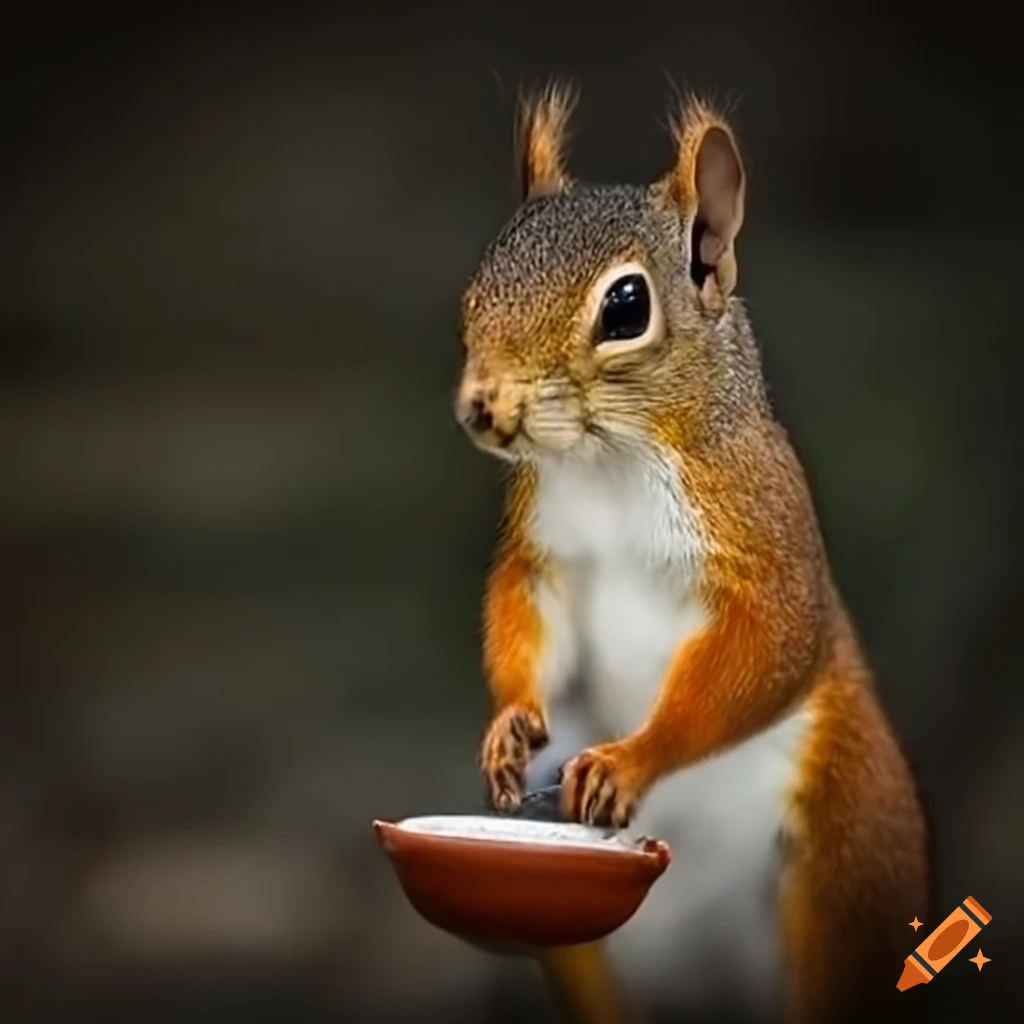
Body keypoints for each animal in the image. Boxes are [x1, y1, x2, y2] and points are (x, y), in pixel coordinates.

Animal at [454, 84, 929, 1024]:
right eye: (475, 288)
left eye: (625, 308)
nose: (481, 407)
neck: (609, 460)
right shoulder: (545, 550)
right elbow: (524, 614)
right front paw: (511, 724)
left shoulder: (762, 528)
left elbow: (773, 647)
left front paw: (630, 759)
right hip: (592, 957)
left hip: (843, 867)